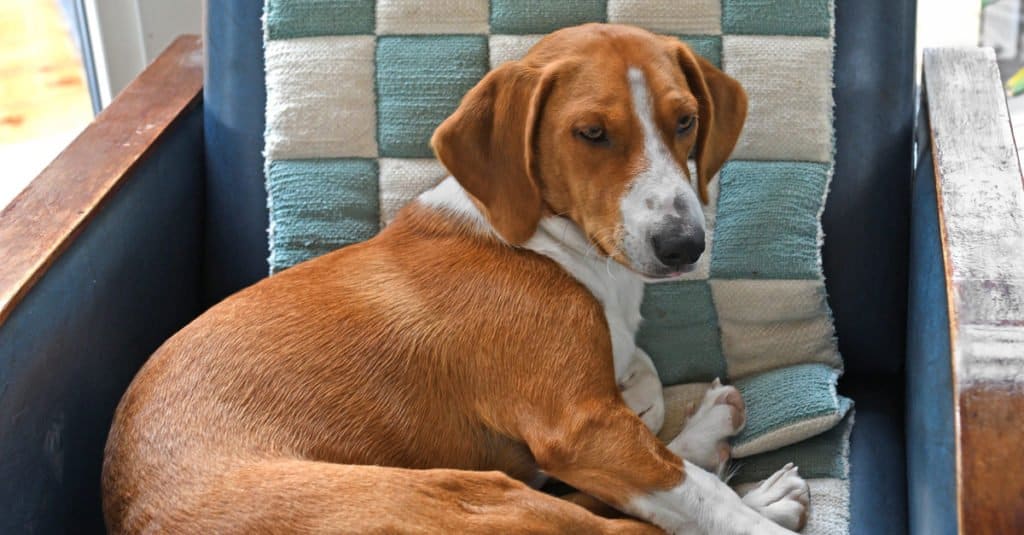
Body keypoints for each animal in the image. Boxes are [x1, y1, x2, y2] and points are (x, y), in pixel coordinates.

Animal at [101, 23, 806, 532]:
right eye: (591, 132)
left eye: (685, 121)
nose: (685, 246)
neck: (545, 243)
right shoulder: (579, 429)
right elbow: (691, 493)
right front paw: (734, 499)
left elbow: (647, 386)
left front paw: (655, 406)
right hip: (478, 494)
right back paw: (760, 497)